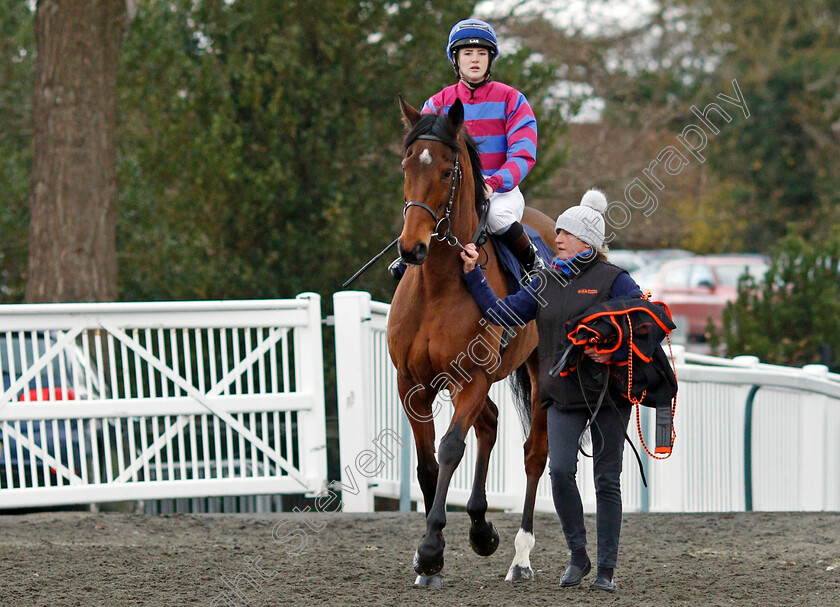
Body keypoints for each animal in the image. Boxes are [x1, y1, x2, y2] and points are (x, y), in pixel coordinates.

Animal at [388, 97, 556, 588]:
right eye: (406, 164)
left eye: (447, 171)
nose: (411, 248)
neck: (438, 285)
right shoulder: (412, 384)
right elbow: (427, 463)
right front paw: (432, 558)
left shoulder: (472, 379)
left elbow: (449, 449)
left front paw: (430, 550)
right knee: (491, 423)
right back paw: (482, 528)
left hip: (540, 374)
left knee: (534, 453)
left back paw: (520, 556)